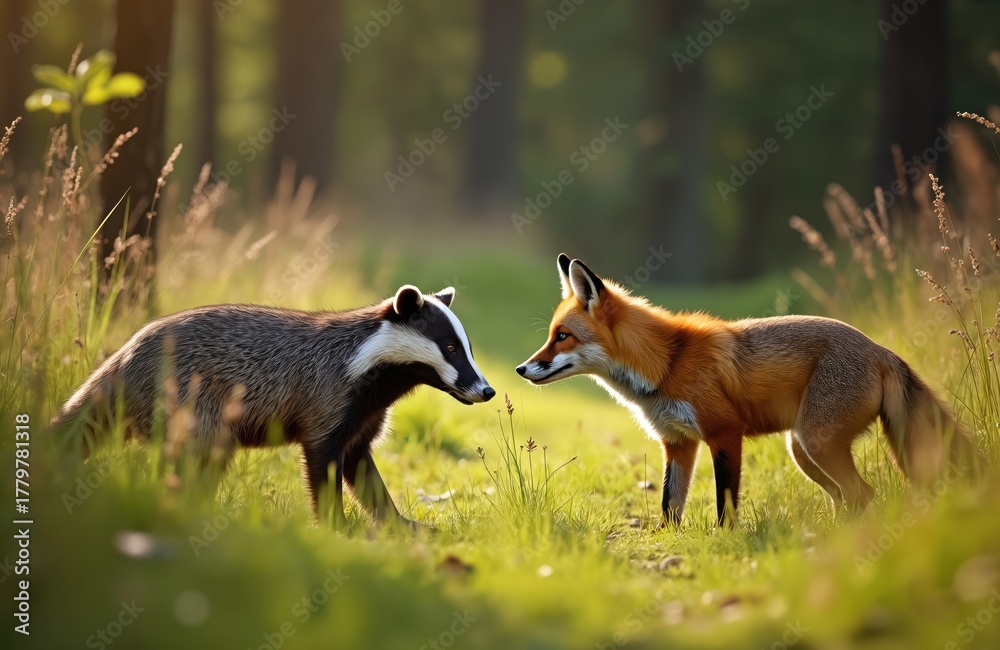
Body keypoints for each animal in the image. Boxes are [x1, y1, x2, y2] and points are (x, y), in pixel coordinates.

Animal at [52, 284, 495, 527]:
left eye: (469, 347)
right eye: (450, 348)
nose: (486, 389)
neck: (367, 365)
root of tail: (123, 358)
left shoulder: (364, 416)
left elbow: (362, 469)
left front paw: (403, 525)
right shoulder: (330, 398)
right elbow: (322, 460)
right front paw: (338, 526)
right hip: (190, 401)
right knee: (195, 456)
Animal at [516, 254, 977, 526]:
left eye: (563, 337)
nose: (521, 369)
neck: (667, 363)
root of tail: (882, 350)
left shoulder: (724, 433)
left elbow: (725, 502)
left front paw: (724, 541)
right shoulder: (677, 443)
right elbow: (670, 504)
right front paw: (666, 540)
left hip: (816, 442)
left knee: (864, 494)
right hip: (803, 451)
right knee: (849, 498)